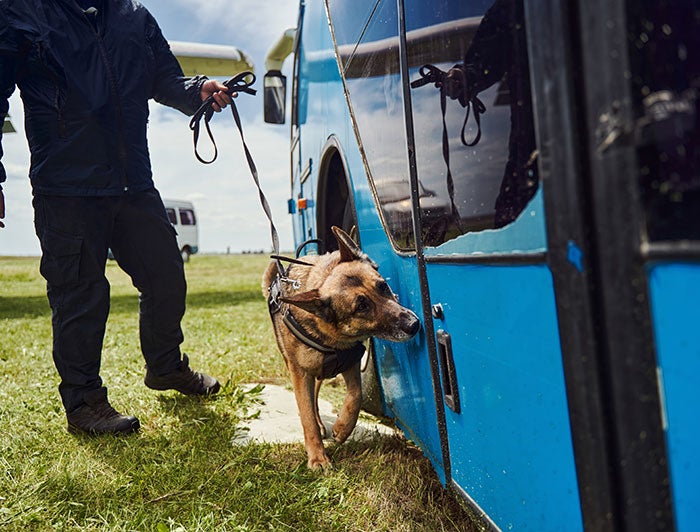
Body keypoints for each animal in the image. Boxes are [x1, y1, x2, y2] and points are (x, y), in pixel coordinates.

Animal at [262, 227, 416, 468]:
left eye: (383, 286)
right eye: (361, 307)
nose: (414, 324)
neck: (330, 337)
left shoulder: (350, 362)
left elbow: (356, 395)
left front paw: (343, 428)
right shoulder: (300, 374)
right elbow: (306, 416)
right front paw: (317, 457)